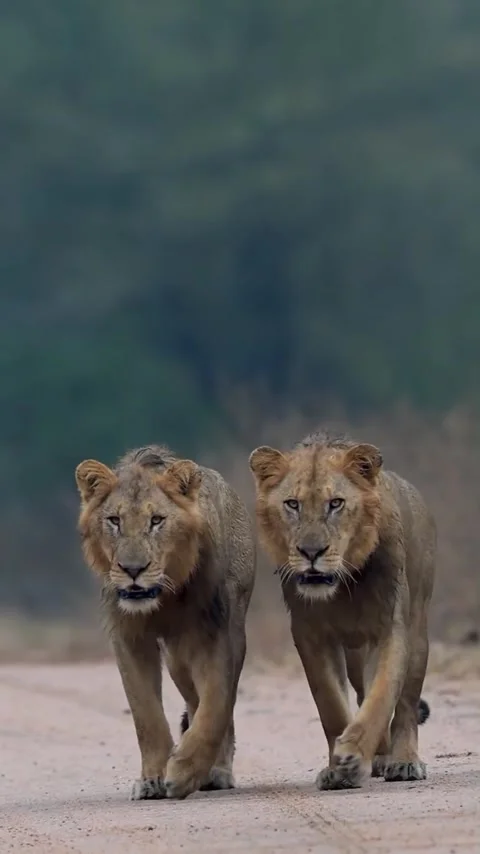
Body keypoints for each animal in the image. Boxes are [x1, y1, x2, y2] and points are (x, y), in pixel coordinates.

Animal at [75, 444, 255, 800]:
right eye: (114, 521)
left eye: (156, 521)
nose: (133, 569)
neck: (165, 598)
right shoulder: (128, 638)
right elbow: (146, 715)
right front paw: (153, 779)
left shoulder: (216, 634)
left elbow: (215, 706)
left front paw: (185, 771)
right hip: (176, 659)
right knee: (192, 698)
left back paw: (215, 771)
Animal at [249, 430, 436, 790]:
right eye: (292, 504)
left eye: (335, 503)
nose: (311, 552)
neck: (343, 588)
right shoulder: (310, 636)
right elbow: (331, 703)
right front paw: (339, 768)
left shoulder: (391, 629)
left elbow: (382, 697)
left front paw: (352, 754)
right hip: (355, 656)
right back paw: (379, 757)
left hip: (419, 633)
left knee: (405, 705)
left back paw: (403, 762)